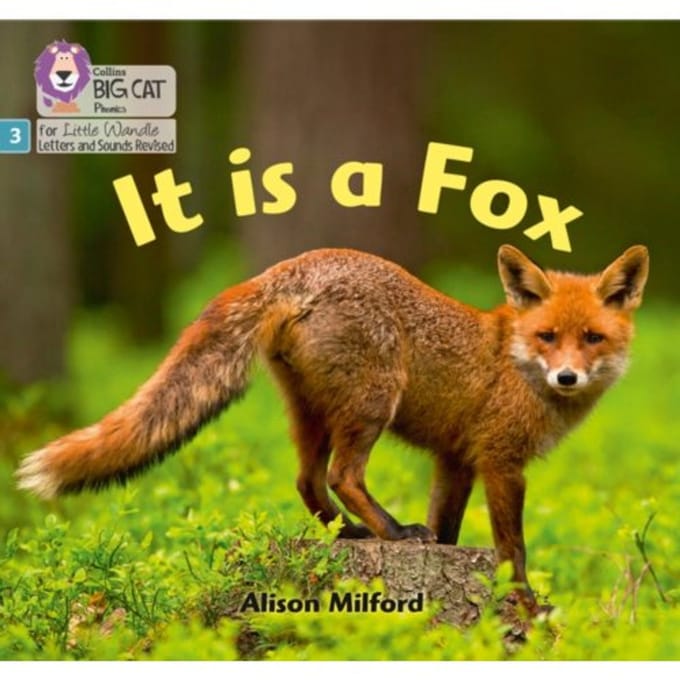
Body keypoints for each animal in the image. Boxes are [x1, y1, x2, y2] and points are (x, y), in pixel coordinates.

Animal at [17, 244, 649, 610]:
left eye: (592, 338)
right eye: (548, 337)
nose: (567, 376)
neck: (513, 360)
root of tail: (291, 266)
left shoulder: (455, 461)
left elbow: (448, 530)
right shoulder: (501, 461)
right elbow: (513, 546)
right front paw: (523, 602)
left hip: (312, 413)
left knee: (307, 481)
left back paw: (351, 534)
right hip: (371, 404)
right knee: (344, 475)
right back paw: (391, 532)